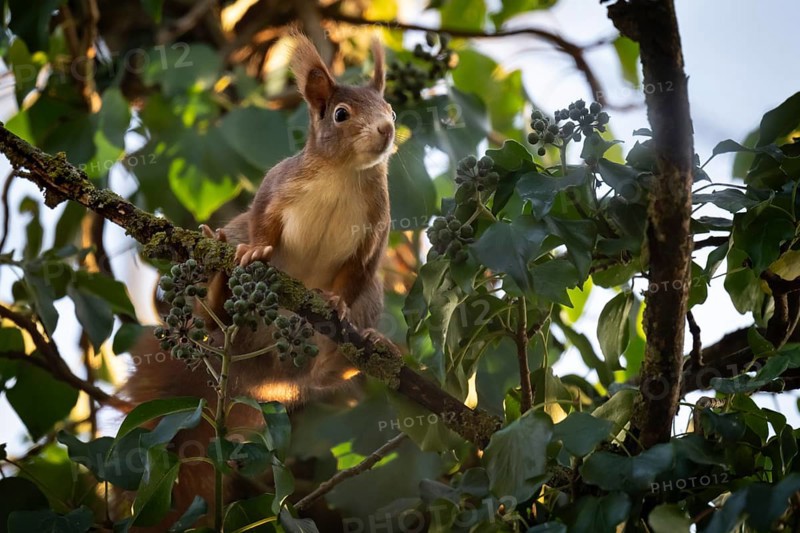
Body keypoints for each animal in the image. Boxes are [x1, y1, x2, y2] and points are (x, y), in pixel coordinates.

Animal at [120, 31, 394, 528]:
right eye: (342, 114)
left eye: (391, 110)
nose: (386, 131)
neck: (343, 173)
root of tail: (248, 371)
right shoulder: (277, 185)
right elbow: (264, 219)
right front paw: (254, 252)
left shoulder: (376, 230)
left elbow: (358, 273)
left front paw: (338, 304)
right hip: (229, 246)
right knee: (213, 320)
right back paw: (217, 286)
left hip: (358, 312)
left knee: (319, 373)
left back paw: (360, 351)